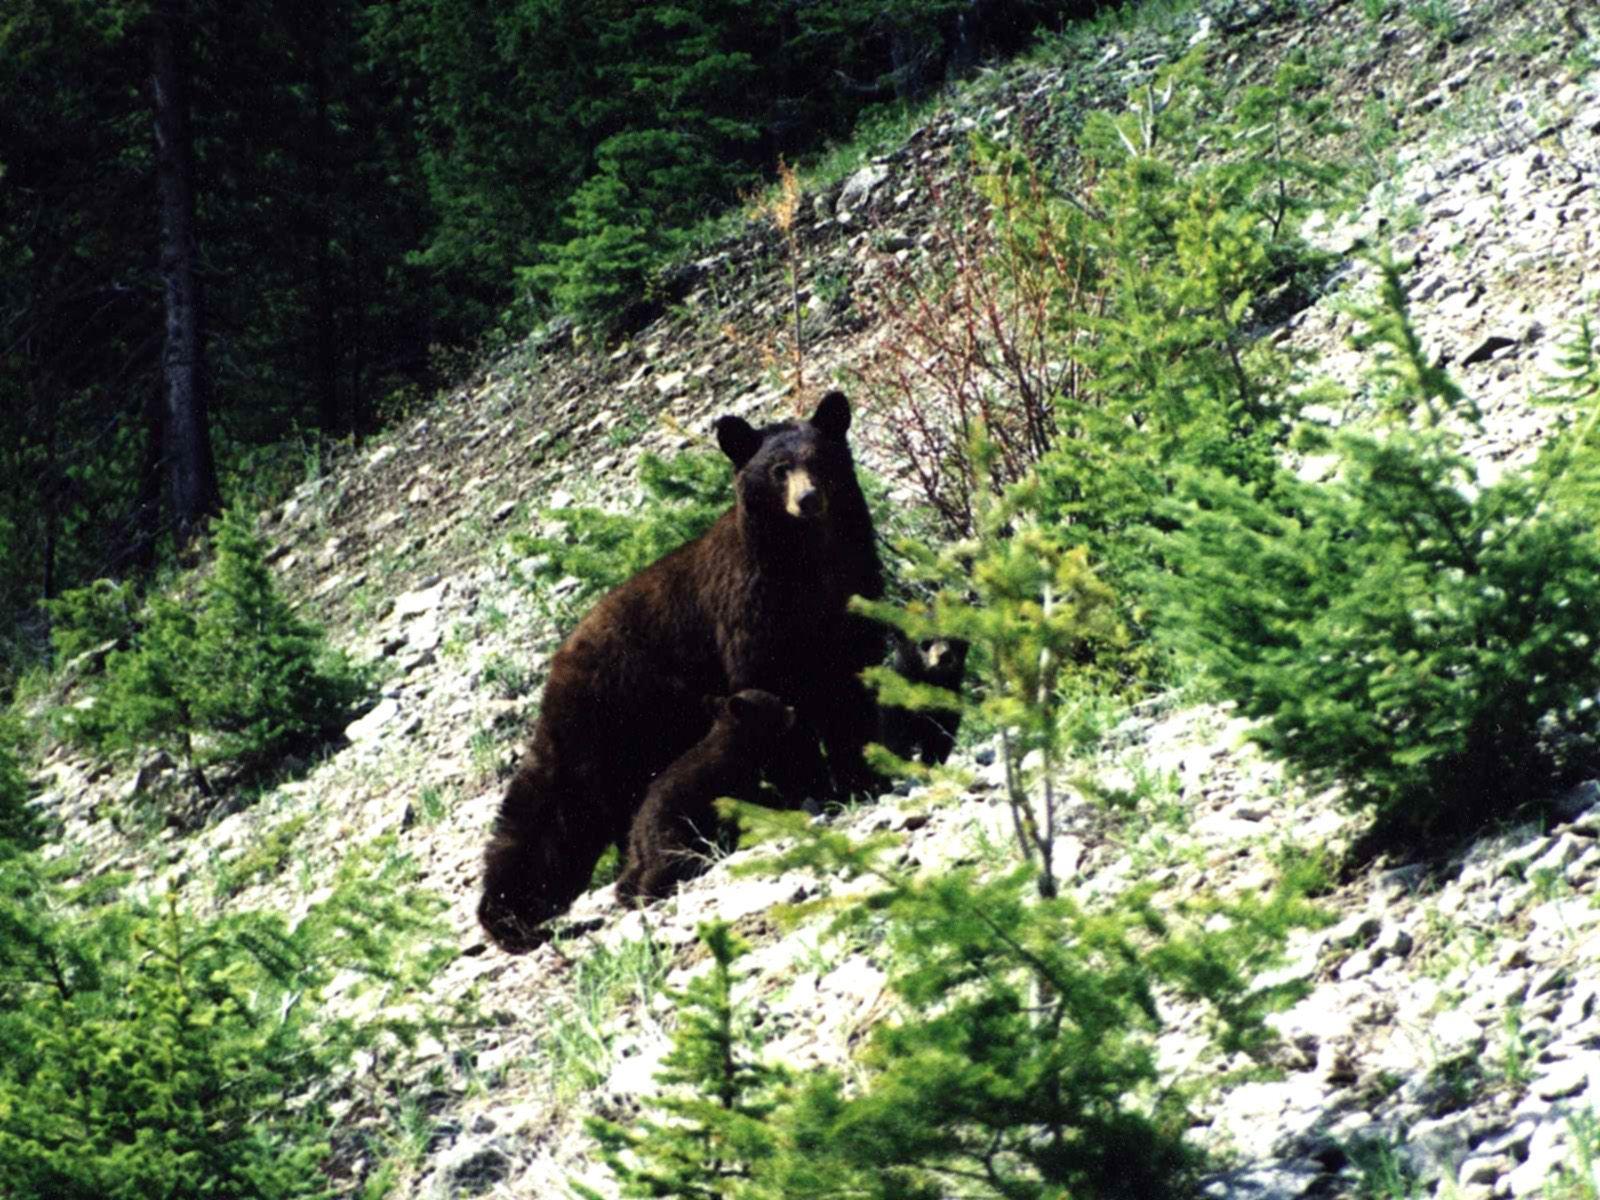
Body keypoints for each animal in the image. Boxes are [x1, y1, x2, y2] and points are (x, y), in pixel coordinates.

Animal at [614, 688, 796, 904]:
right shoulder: (735, 780)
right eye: (774, 702)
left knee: (629, 875)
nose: (792, 710)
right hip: (673, 834)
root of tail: (640, 833)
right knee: (664, 866)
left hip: (635, 850)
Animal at [878, 635, 969, 766]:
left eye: (954, 640)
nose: (945, 655)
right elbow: (895, 739)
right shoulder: (895, 708)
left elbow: (940, 739)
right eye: (925, 641)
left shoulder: (949, 708)